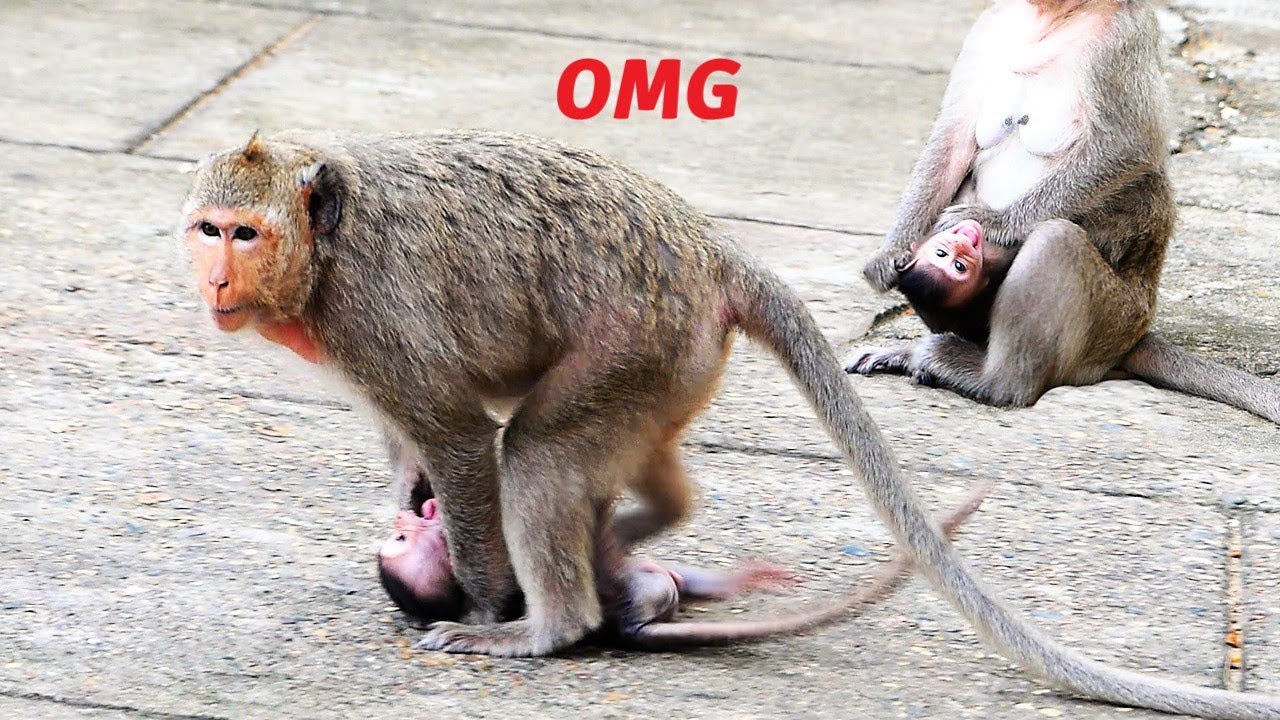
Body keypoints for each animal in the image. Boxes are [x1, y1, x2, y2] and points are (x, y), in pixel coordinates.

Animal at [378, 491, 988, 648]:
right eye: (402, 540)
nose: (403, 515)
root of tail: (629, 625)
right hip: (632, 584)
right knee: (610, 561)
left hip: (653, 581)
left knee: (677, 577)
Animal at [847, 0, 1280, 426]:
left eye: (957, 260)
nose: (962, 247)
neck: (1053, 19)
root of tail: (1132, 339)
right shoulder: (989, 24)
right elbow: (952, 139)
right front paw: (892, 251)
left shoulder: (1124, 35)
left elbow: (1127, 146)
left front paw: (994, 222)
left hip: (1112, 320)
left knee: (1055, 241)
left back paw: (995, 381)